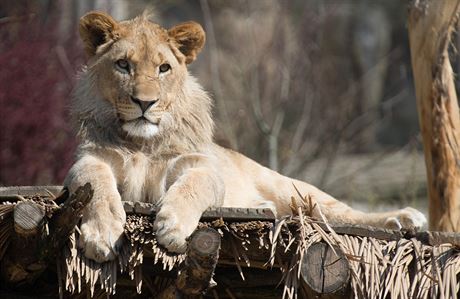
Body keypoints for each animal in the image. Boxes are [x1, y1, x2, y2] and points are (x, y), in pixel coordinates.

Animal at [63, 11, 426, 264]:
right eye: (123, 65)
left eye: (163, 68)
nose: (145, 102)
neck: (143, 143)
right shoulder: (89, 161)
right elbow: (96, 186)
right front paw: (101, 235)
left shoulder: (202, 166)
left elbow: (195, 185)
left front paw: (173, 226)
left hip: (293, 188)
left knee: (338, 212)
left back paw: (404, 218)